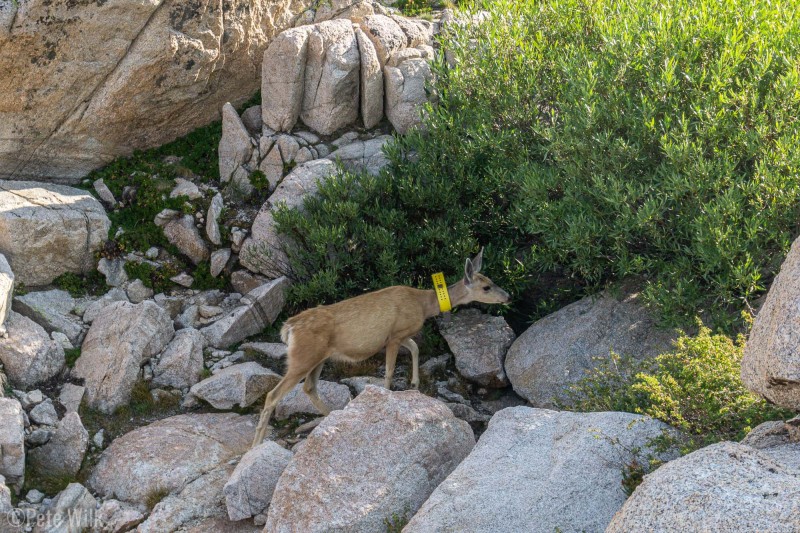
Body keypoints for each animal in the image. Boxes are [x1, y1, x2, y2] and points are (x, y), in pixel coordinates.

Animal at [253, 249, 510, 444]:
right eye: (486, 287)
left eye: (492, 281)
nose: (507, 296)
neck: (424, 304)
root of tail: (289, 328)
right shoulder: (395, 336)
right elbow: (388, 370)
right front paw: (387, 398)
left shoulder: (398, 334)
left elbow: (415, 348)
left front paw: (414, 384)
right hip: (303, 357)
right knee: (273, 395)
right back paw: (257, 445)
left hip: (319, 357)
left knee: (309, 387)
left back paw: (332, 416)